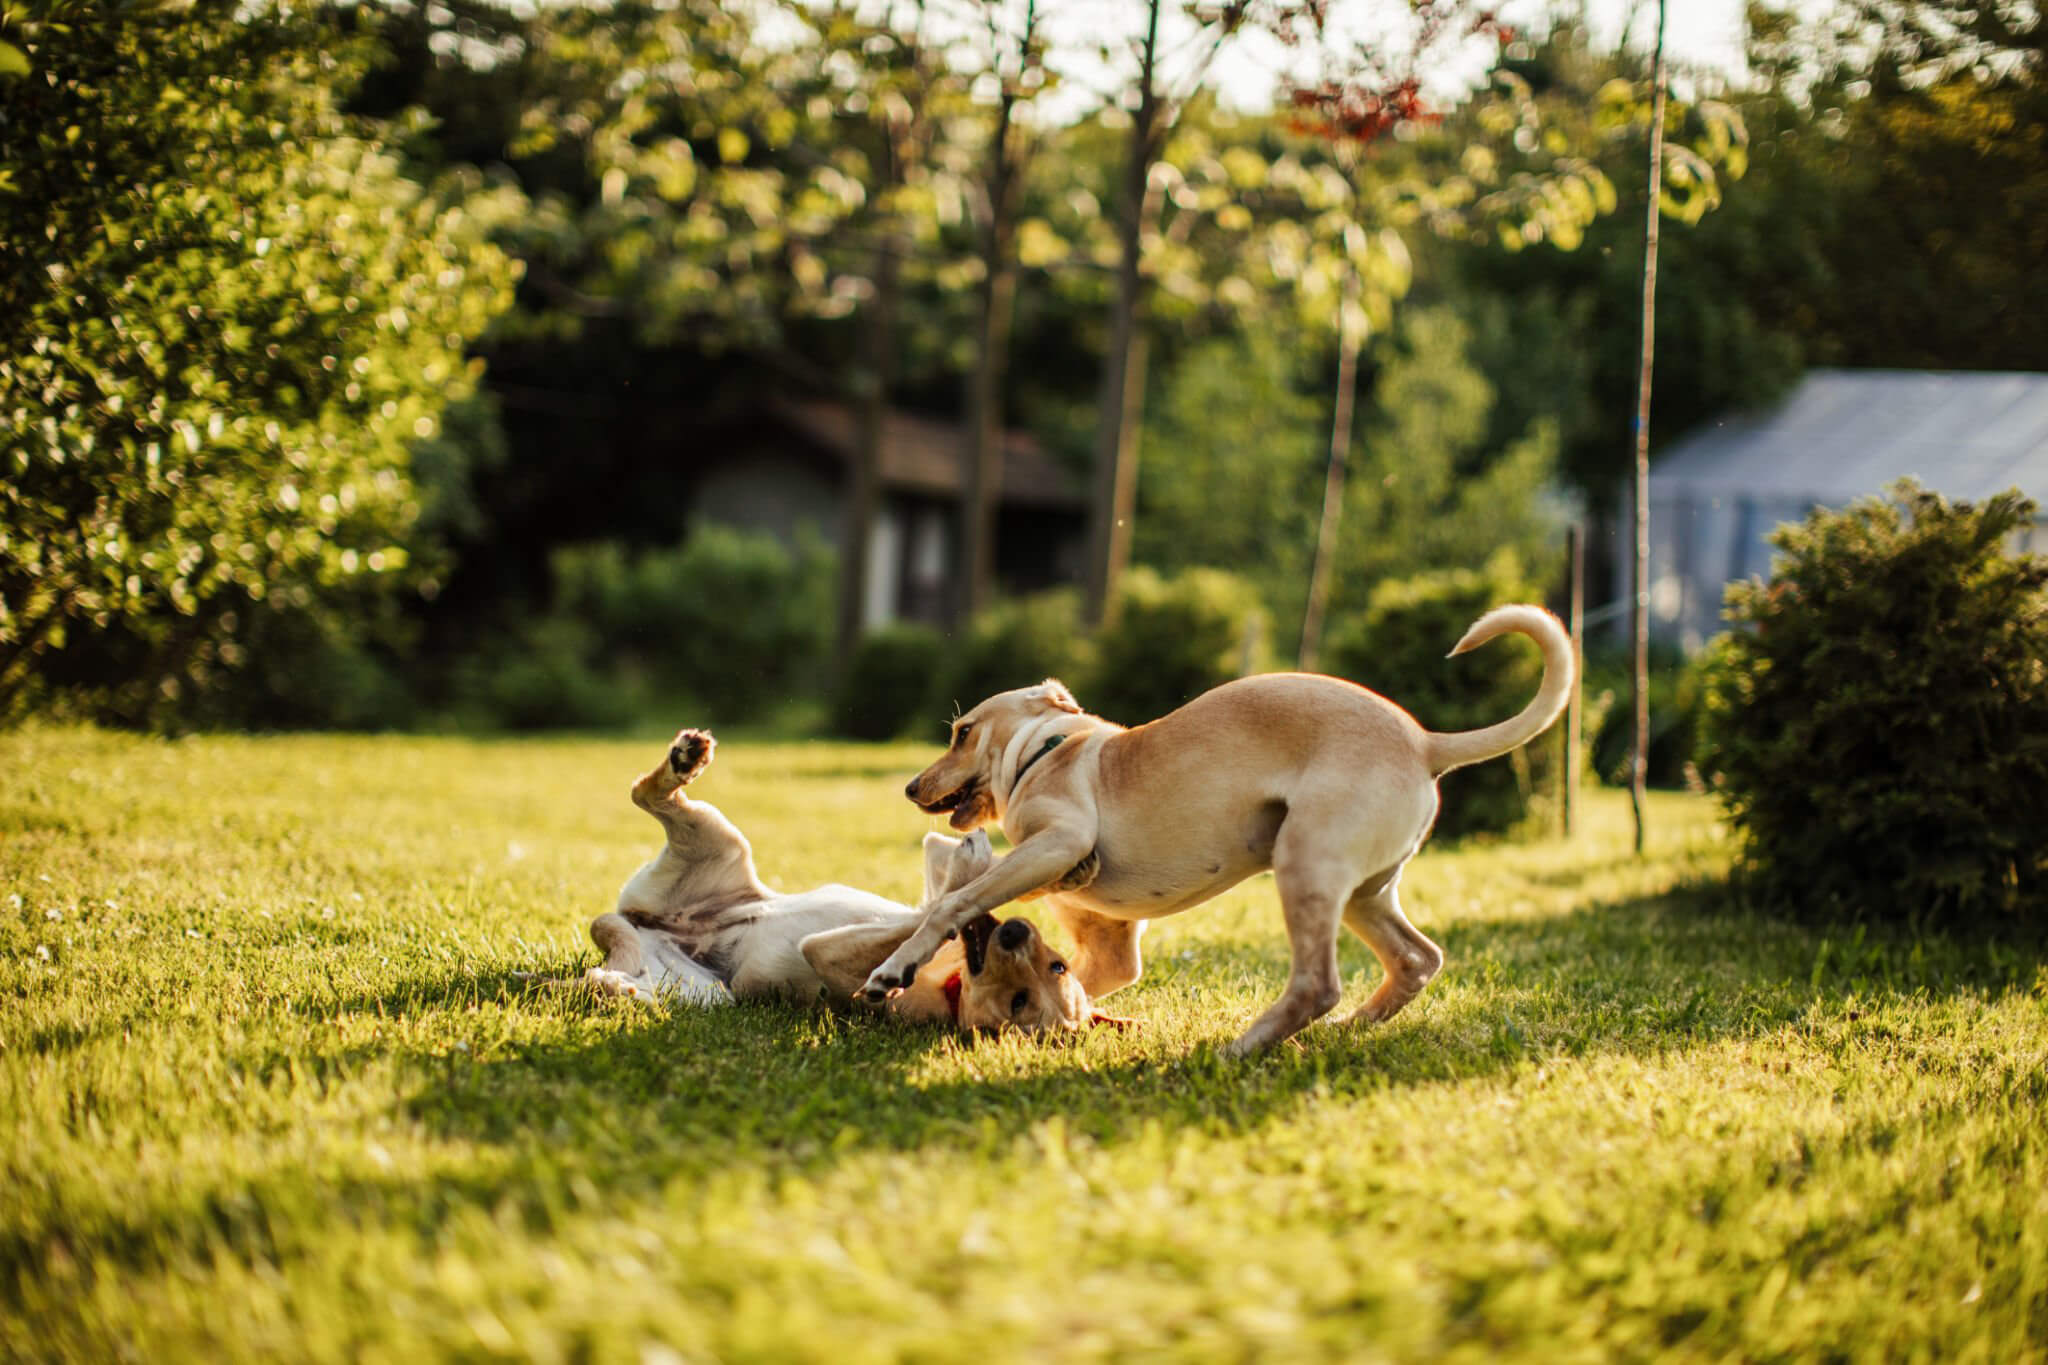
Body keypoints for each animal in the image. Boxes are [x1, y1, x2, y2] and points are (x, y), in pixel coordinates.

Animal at [856, 609, 1572, 1055]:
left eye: (961, 732)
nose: (911, 788)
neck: (1047, 749)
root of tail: (1426, 742)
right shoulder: (1109, 941)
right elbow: (1082, 976)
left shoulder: (1058, 842)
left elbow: (956, 901)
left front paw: (895, 968)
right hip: (1365, 891)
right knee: (1416, 959)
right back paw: (1351, 1028)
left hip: (1305, 863)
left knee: (1319, 983)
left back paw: (1244, 1046)